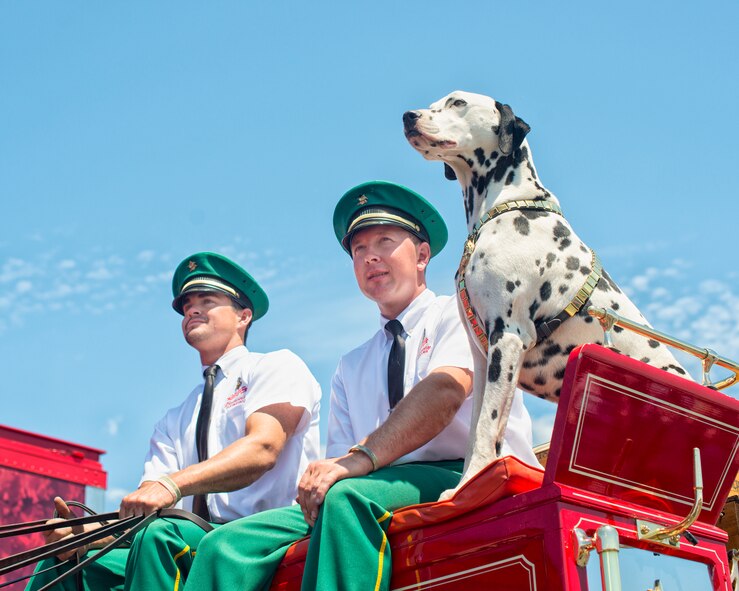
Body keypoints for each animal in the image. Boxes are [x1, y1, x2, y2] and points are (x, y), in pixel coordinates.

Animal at [404, 91, 688, 500]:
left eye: (457, 102)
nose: (408, 116)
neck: (504, 205)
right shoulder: (483, 356)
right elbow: (477, 431)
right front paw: (466, 485)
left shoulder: (508, 337)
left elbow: (488, 428)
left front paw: (467, 487)